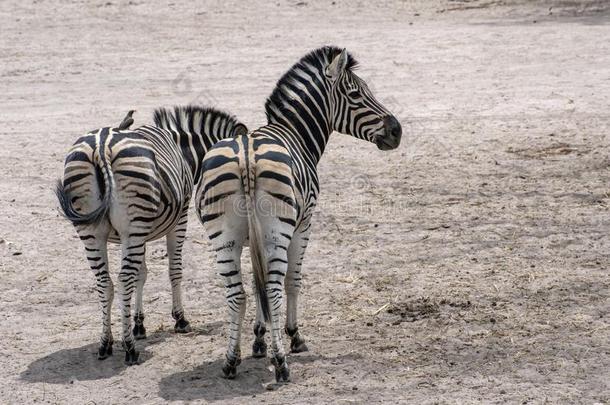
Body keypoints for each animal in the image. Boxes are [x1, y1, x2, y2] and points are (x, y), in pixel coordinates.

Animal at [55, 104, 247, 362]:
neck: (182, 148)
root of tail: (101, 146)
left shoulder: (140, 233)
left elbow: (142, 274)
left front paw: (138, 324)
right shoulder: (179, 218)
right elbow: (174, 271)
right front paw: (179, 319)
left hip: (94, 231)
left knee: (105, 282)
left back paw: (106, 343)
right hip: (132, 225)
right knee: (123, 279)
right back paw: (129, 348)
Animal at [195, 45, 402, 380]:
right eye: (356, 94)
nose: (397, 131)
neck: (293, 132)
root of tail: (246, 156)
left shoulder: (252, 239)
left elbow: (256, 280)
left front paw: (258, 339)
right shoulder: (304, 223)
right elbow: (292, 279)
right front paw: (293, 337)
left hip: (223, 237)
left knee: (236, 293)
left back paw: (230, 362)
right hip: (278, 231)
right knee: (276, 288)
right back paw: (281, 363)